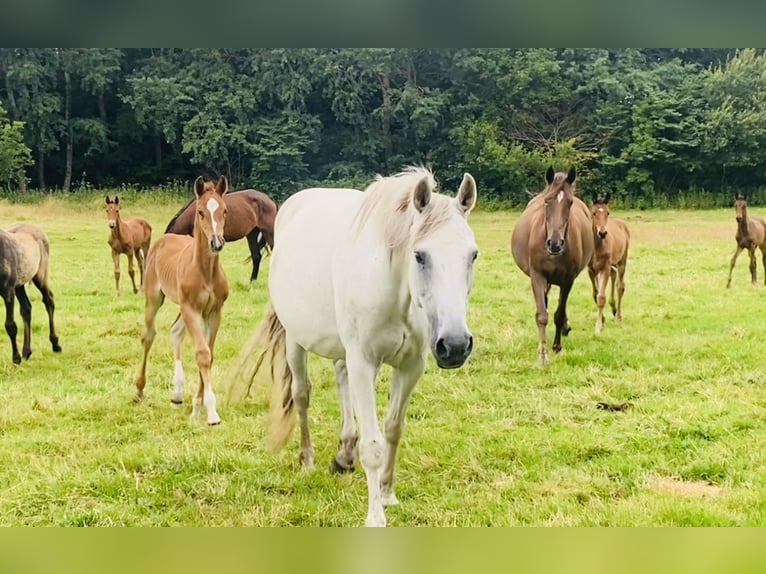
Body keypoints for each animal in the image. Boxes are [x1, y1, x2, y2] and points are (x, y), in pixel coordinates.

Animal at [0, 223, 61, 364]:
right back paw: (27, 351)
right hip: (19, 285)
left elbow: (10, 325)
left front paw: (16, 358)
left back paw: (55, 344)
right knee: (26, 308)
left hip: (40, 276)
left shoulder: (8, 291)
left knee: (49, 301)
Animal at [134, 176, 230, 425]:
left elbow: (209, 354)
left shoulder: (214, 313)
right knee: (148, 336)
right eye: (200, 212)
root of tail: (164, 238)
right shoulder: (191, 310)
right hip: (155, 298)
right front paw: (211, 412)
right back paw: (139, 390)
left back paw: (177, 394)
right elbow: (202, 354)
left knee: (175, 331)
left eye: (224, 210)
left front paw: (197, 406)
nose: (217, 243)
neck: (206, 273)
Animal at [233, 167, 478, 527]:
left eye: (472, 255)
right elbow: (373, 445)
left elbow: (393, 429)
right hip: (296, 341)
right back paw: (308, 459)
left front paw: (387, 493)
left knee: (341, 380)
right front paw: (375, 516)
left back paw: (344, 454)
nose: (456, 345)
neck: (396, 291)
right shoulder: (364, 360)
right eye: (419, 255)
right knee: (301, 395)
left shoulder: (410, 366)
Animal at [511, 166, 594, 366]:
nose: (555, 244)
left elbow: (559, 314)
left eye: (570, 203)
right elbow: (542, 315)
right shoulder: (538, 276)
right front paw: (542, 354)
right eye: (547, 202)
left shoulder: (568, 280)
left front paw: (556, 346)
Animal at [587, 193, 630, 333]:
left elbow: (601, 297)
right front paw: (603, 320)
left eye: (608, 212)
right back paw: (614, 308)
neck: (597, 247)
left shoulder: (604, 269)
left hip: (622, 261)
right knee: (614, 275)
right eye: (594, 213)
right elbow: (595, 294)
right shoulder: (591, 270)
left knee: (620, 287)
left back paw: (618, 317)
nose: (602, 233)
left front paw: (598, 326)